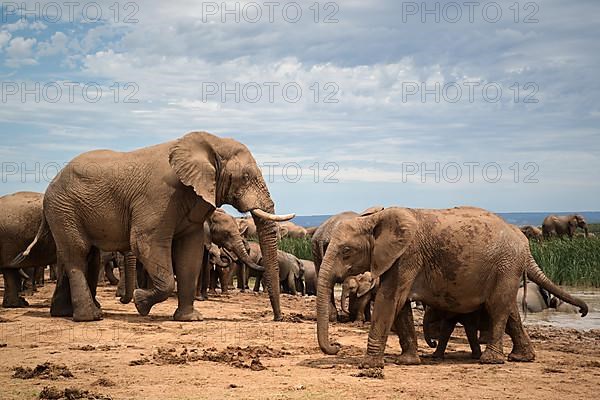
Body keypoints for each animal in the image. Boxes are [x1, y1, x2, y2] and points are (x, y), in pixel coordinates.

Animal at [316, 205, 588, 368]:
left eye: (346, 251)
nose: (337, 347)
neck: (374, 219)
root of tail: (524, 243)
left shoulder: (407, 255)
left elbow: (390, 299)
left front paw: (369, 366)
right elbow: (399, 306)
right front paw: (407, 361)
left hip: (506, 264)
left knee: (498, 307)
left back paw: (490, 360)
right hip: (506, 269)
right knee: (509, 309)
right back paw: (521, 357)